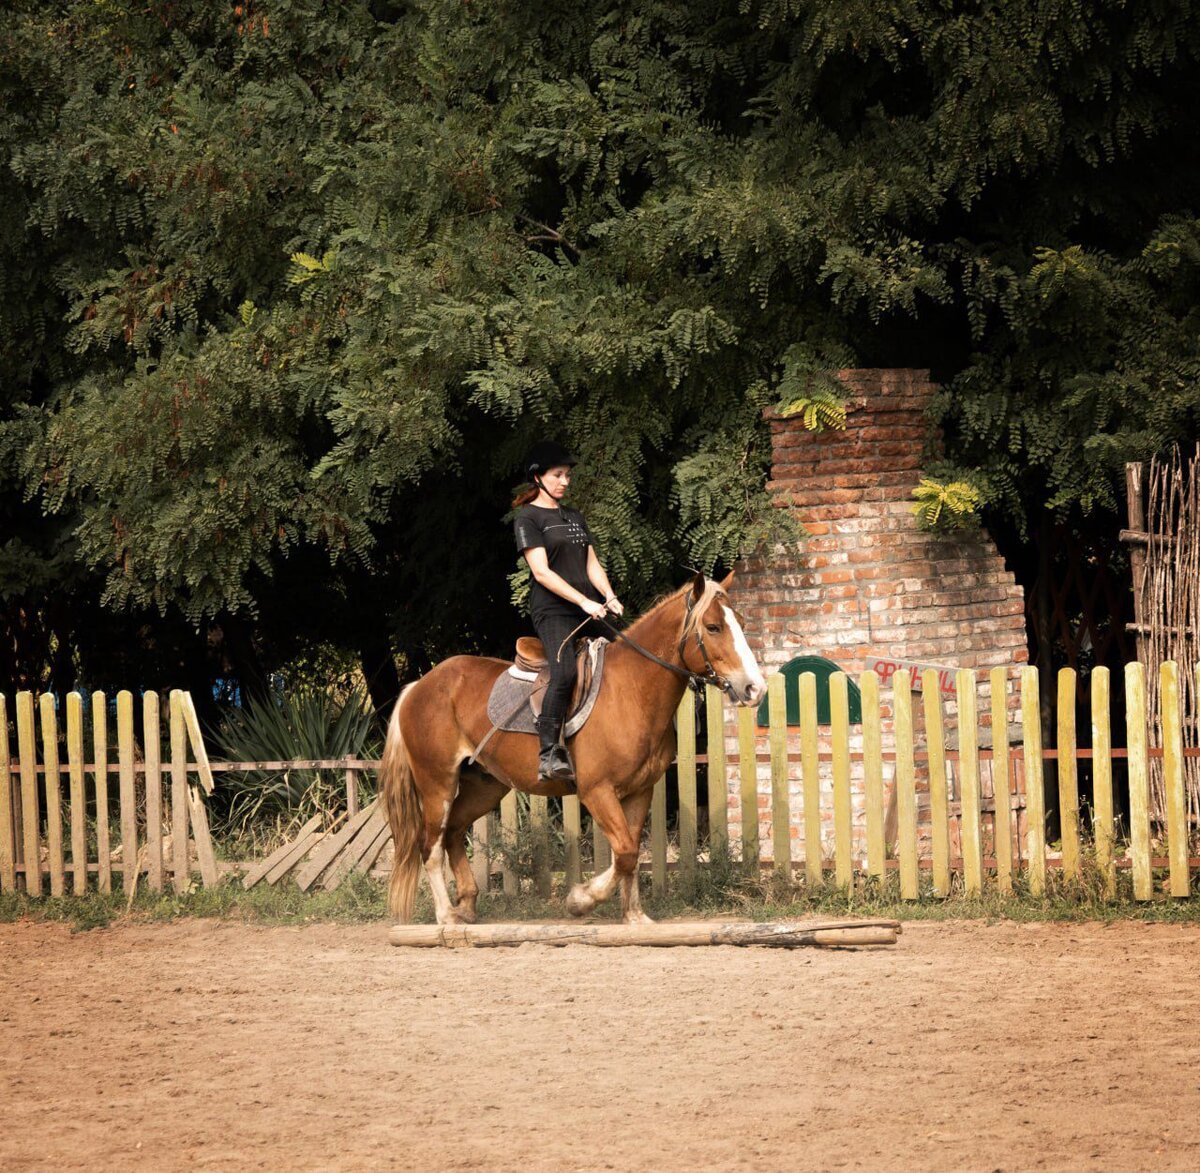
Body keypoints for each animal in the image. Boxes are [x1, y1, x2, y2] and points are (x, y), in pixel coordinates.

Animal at [379, 573, 763, 925]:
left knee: (454, 832)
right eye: (713, 627)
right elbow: (625, 852)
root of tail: (419, 686)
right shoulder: (597, 791)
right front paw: (582, 900)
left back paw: (468, 905)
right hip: (437, 784)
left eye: (741, 624)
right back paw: (446, 916)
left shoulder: (639, 791)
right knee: (430, 845)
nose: (754, 688)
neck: (632, 689)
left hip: (484, 786)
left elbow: (629, 854)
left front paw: (635, 916)